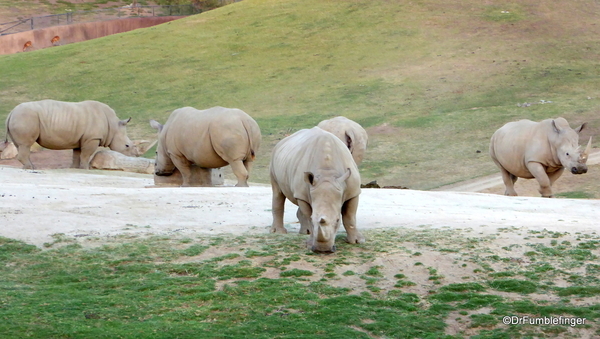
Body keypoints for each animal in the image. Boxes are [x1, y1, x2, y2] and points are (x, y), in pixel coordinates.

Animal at [4, 100, 136, 170]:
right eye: (127, 146)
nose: (133, 158)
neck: (113, 126)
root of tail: (11, 112)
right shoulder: (92, 138)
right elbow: (86, 155)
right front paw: (86, 168)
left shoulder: (81, 139)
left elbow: (77, 154)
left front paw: (75, 168)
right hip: (25, 117)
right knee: (26, 144)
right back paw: (31, 168)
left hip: (20, 118)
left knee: (20, 145)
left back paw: (31, 167)